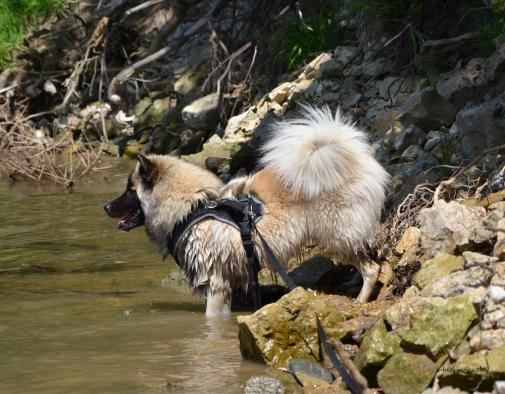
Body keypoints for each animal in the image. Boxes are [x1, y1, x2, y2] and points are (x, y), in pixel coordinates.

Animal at [104, 106, 390, 316]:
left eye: (130, 190)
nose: (105, 207)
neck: (191, 208)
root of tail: (353, 160)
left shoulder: (215, 281)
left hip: (337, 234)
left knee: (371, 268)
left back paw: (361, 299)